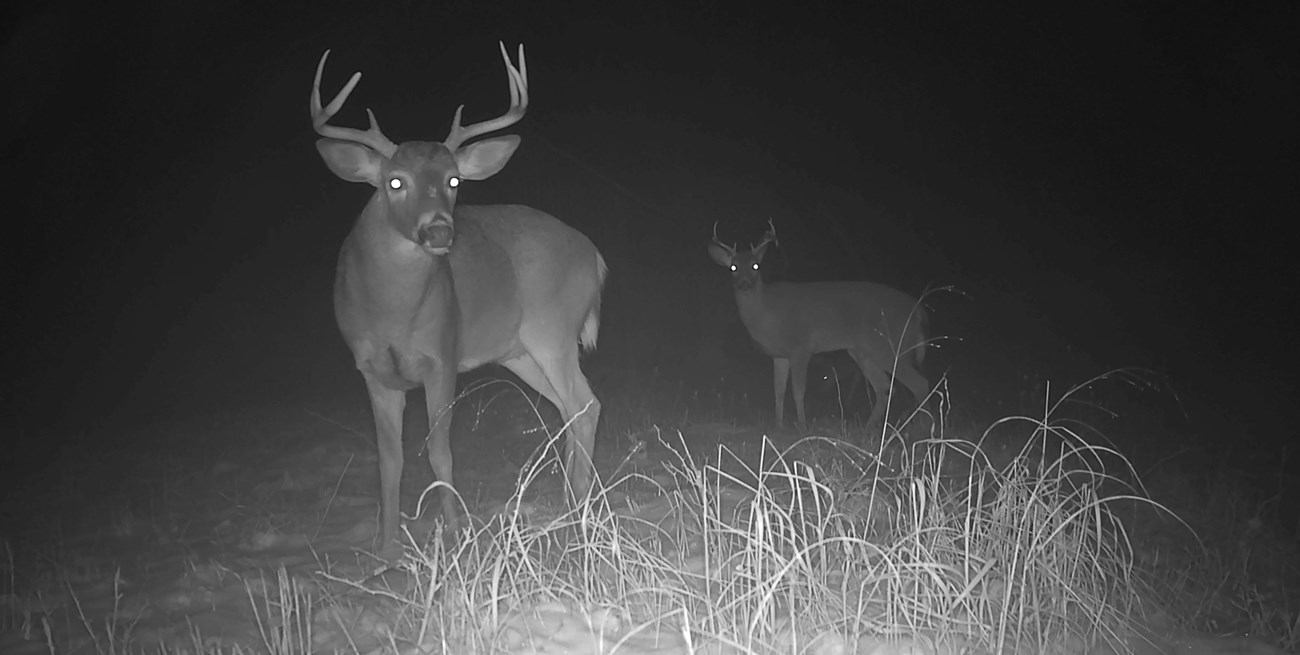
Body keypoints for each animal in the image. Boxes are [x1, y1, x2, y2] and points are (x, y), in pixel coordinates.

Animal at [311, 43, 607, 555]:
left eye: (454, 180)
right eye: (395, 181)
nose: (438, 231)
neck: (391, 313)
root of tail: (594, 255)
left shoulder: (443, 354)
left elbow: (439, 450)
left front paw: (452, 535)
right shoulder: (371, 369)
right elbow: (390, 459)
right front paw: (386, 551)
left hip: (553, 330)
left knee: (585, 404)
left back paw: (578, 513)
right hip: (519, 352)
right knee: (568, 408)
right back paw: (572, 503)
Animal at [708, 221, 928, 433]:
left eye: (756, 266)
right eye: (733, 267)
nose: (745, 284)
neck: (767, 315)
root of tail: (918, 311)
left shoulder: (801, 346)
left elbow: (798, 390)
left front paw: (802, 426)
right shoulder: (779, 355)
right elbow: (778, 391)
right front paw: (778, 426)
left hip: (891, 346)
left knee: (919, 384)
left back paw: (923, 427)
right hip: (863, 352)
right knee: (884, 388)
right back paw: (869, 428)